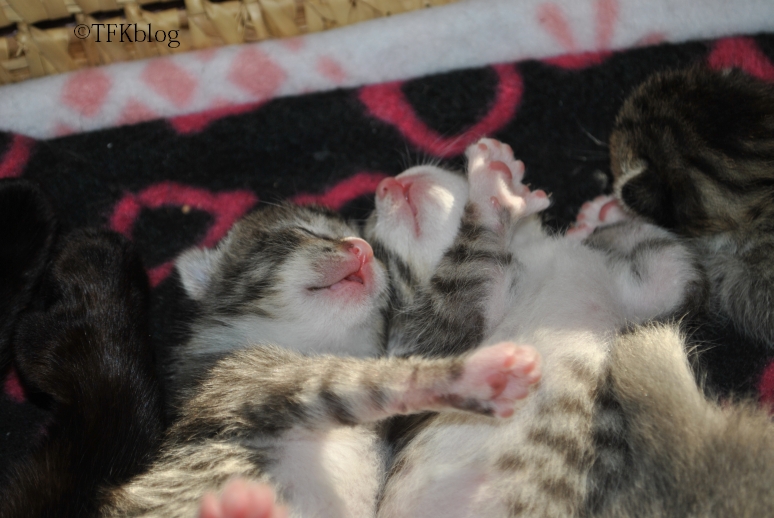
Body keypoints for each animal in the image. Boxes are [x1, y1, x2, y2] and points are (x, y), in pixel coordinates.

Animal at [101, 202, 542, 518]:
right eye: (301, 232)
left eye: (373, 249)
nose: (361, 248)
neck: (312, 345)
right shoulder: (253, 381)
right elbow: (384, 378)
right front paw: (479, 376)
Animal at [367, 138, 705, 517]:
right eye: (378, 248)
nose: (387, 184)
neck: (525, 256)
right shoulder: (427, 340)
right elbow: (463, 277)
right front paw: (495, 192)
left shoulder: (641, 298)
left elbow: (673, 266)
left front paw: (604, 218)